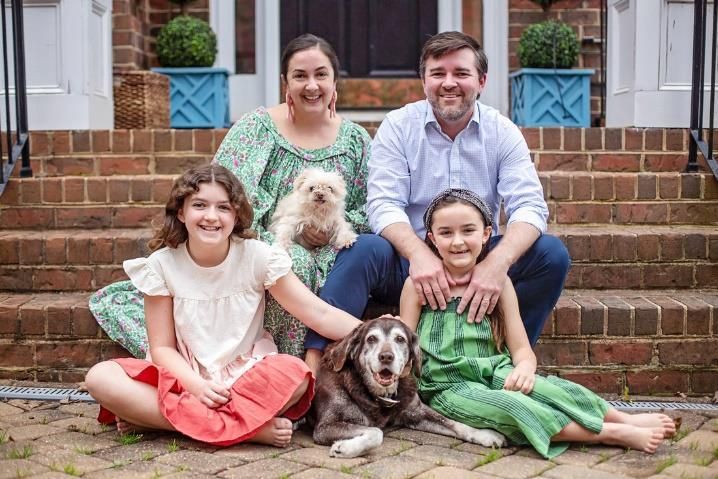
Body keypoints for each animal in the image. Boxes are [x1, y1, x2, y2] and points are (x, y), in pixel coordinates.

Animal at [314, 318, 506, 458]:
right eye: (371, 339)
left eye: (400, 339)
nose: (386, 356)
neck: (376, 395)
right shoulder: (326, 426)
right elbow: (376, 432)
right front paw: (345, 448)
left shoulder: (415, 412)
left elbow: (455, 424)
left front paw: (485, 434)